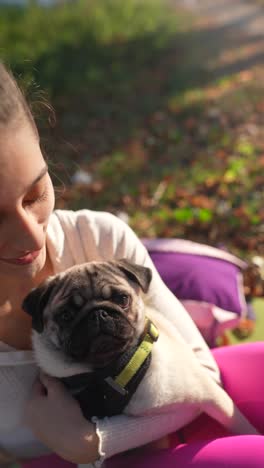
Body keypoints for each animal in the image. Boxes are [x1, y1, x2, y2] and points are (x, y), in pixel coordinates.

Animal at [22, 260, 258, 438]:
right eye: (65, 315)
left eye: (121, 299)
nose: (98, 313)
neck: (112, 370)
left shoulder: (210, 393)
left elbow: (237, 422)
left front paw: (252, 434)